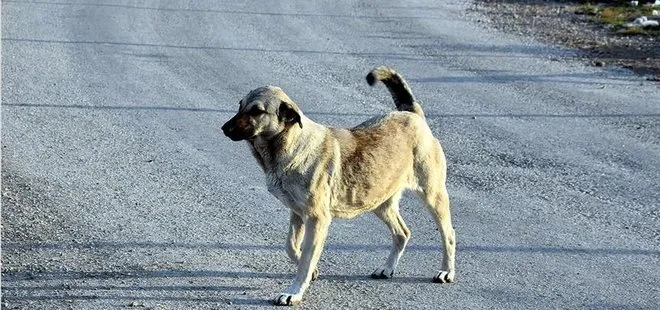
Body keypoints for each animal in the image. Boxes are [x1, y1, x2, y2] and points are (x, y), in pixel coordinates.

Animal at [222, 66, 454, 306]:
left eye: (256, 111)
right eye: (240, 105)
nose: (224, 128)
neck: (292, 144)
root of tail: (413, 114)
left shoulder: (317, 219)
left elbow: (305, 261)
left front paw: (295, 292)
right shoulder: (297, 214)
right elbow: (291, 246)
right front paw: (311, 271)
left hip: (432, 196)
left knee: (449, 234)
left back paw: (447, 271)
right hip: (380, 203)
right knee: (402, 233)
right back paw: (388, 268)